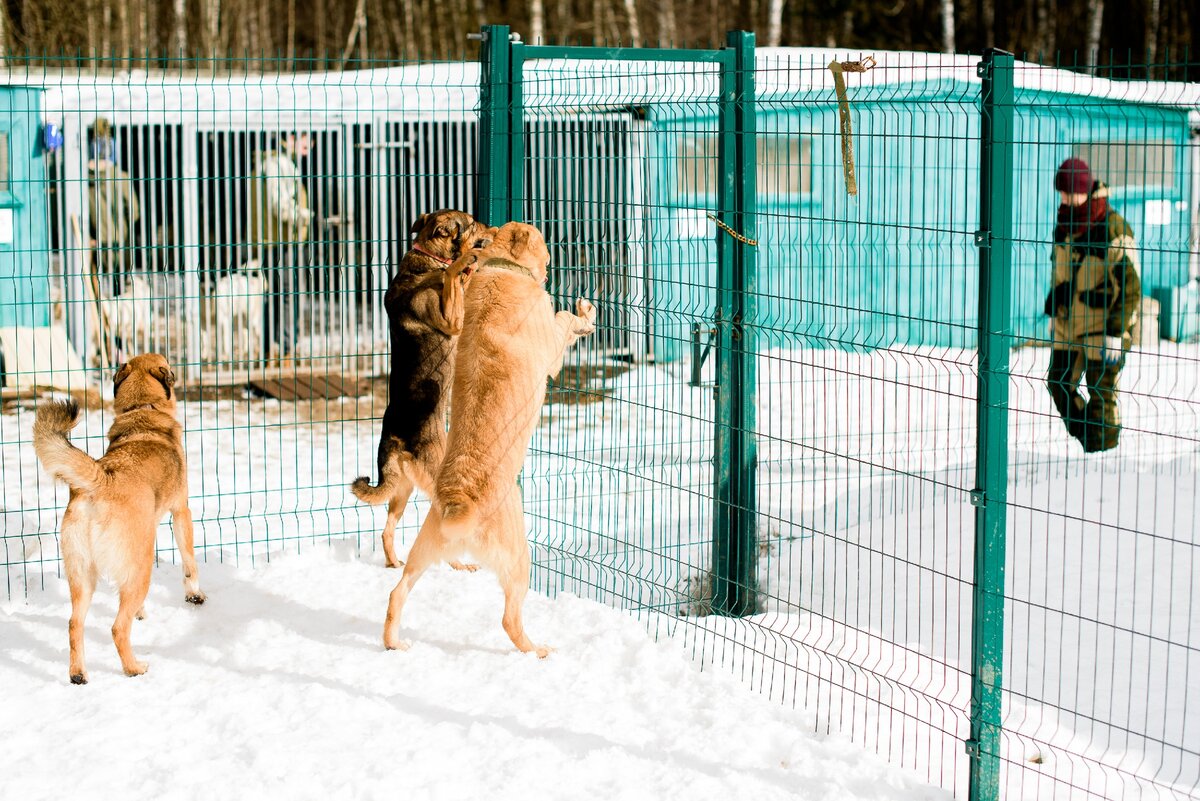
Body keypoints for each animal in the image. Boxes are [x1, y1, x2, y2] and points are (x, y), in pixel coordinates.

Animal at [32, 352, 206, 685]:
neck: (143, 409)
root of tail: (101, 481)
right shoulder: (181, 511)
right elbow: (189, 562)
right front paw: (195, 596)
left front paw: (141, 611)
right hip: (139, 568)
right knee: (117, 628)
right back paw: (134, 668)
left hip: (82, 576)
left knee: (74, 623)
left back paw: (78, 674)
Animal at [379, 220, 595, 657]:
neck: (500, 268)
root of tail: (460, 506)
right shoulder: (550, 346)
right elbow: (565, 319)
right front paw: (585, 314)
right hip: (520, 559)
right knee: (509, 619)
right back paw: (538, 651)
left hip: (423, 551)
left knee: (398, 591)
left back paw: (395, 642)